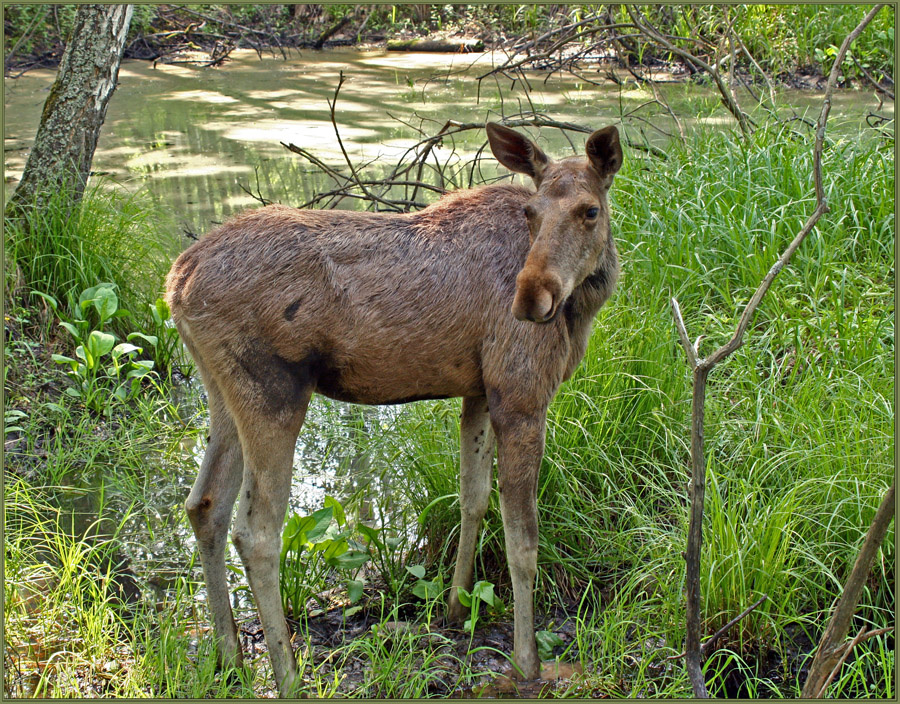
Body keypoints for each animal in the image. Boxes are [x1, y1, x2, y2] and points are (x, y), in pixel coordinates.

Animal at [164, 122, 623, 696]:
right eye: (531, 212)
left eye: (590, 210)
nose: (531, 299)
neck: (581, 309)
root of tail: (176, 283)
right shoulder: (521, 394)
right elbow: (523, 541)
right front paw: (526, 663)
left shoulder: (480, 390)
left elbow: (472, 498)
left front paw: (456, 607)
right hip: (273, 392)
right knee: (256, 532)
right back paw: (288, 677)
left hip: (221, 393)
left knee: (204, 505)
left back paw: (229, 658)